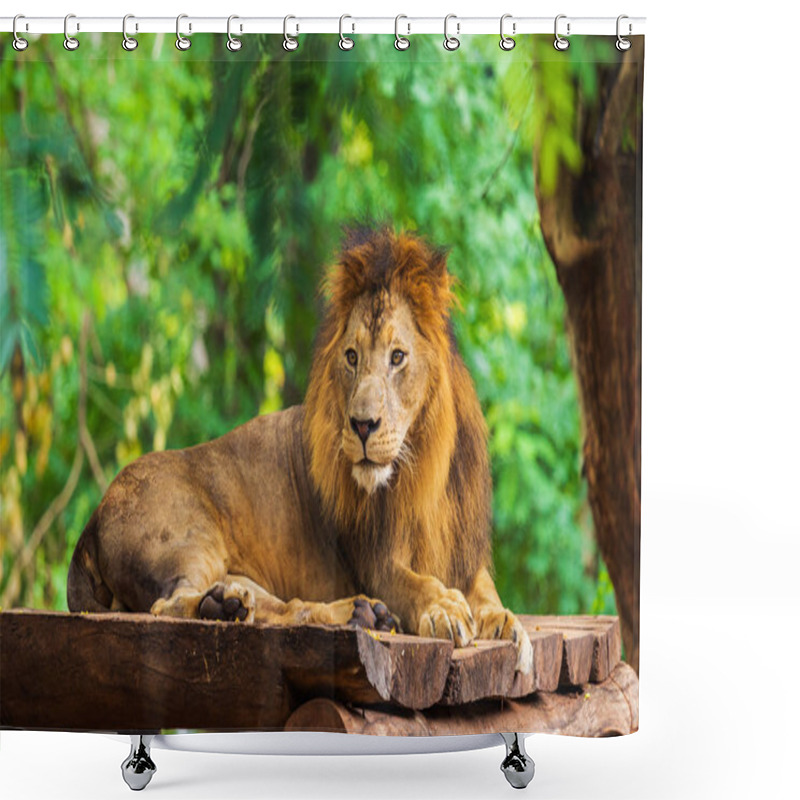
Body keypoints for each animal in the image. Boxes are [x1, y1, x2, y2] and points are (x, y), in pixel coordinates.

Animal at [67, 228, 532, 672]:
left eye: (398, 357)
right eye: (351, 357)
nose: (362, 425)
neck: (421, 467)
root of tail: (92, 518)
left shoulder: (462, 551)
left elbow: (485, 589)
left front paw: (503, 619)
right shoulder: (375, 561)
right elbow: (417, 583)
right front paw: (444, 607)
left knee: (278, 605)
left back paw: (354, 614)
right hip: (192, 537)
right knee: (170, 604)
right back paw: (228, 609)